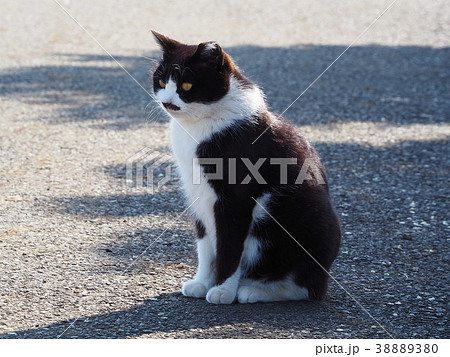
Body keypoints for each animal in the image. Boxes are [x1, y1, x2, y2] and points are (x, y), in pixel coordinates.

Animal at [151, 31, 342, 304]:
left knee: (307, 287)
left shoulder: (235, 199)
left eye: (186, 86)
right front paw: (202, 283)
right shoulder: (197, 194)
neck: (198, 126)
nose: (167, 102)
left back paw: (255, 290)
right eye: (161, 81)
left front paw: (222, 290)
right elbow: (205, 246)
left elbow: (229, 247)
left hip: (292, 217)